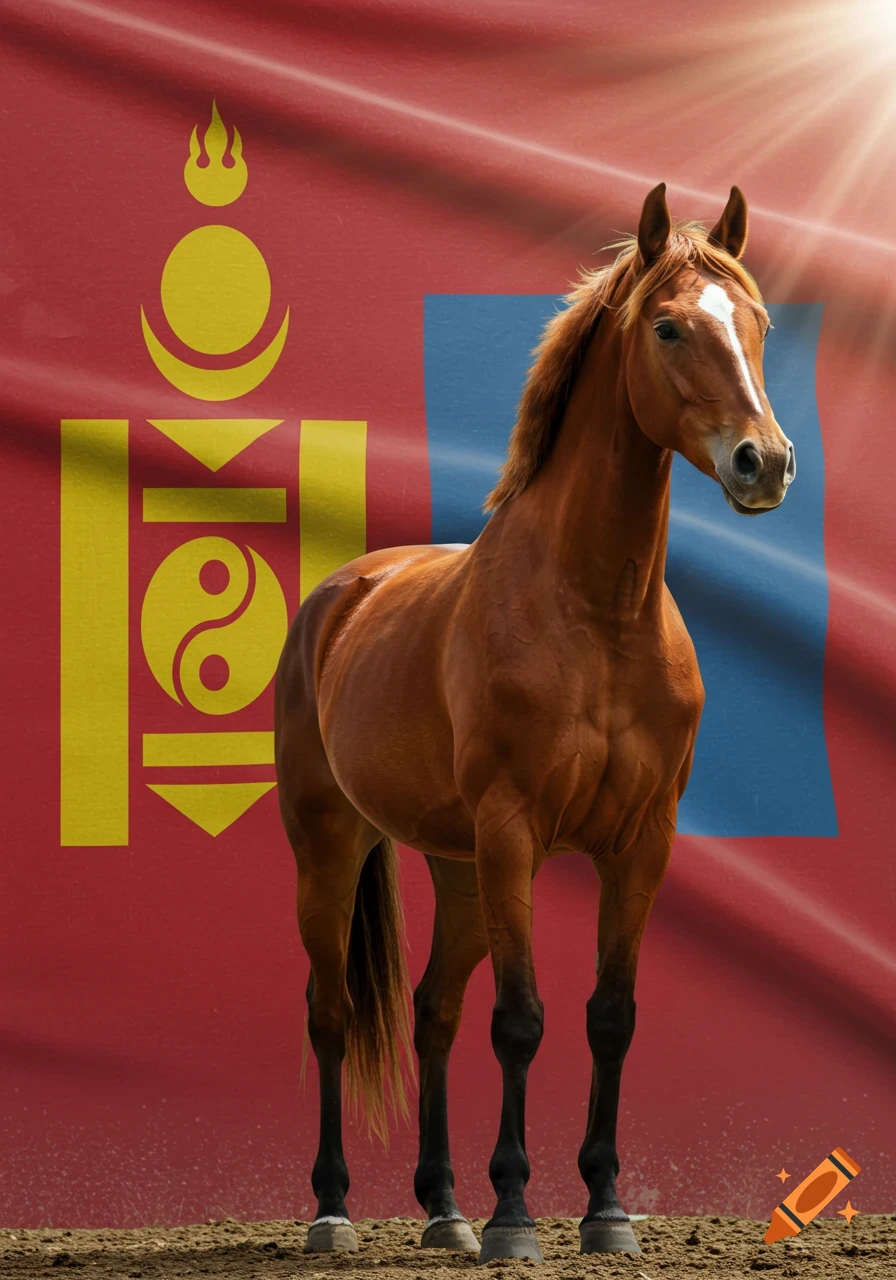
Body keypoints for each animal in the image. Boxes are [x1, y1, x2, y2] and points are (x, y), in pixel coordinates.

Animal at [274, 182, 795, 1264]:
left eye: (759, 322)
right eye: (669, 326)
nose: (762, 463)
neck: (594, 613)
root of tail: (341, 593)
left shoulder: (640, 843)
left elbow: (609, 1016)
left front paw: (604, 1210)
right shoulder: (514, 831)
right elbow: (520, 1020)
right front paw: (517, 1216)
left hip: (461, 869)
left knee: (432, 1012)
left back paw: (443, 1211)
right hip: (332, 847)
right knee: (333, 1014)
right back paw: (335, 1211)